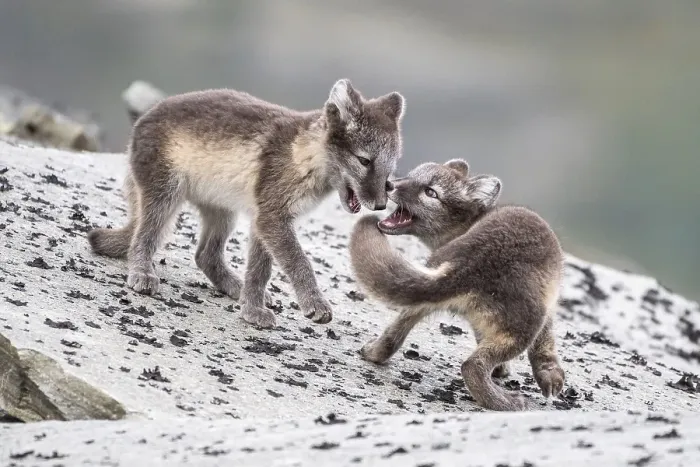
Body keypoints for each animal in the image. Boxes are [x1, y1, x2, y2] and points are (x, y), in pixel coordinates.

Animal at [88, 79, 405, 329]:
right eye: (365, 161)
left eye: (389, 171)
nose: (380, 205)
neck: (303, 156)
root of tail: (141, 121)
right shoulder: (271, 217)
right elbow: (299, 262)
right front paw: (314, 304)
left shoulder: (262, 219)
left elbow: (259, 271)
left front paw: (251, 309)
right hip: (165, 196)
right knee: (142, 238)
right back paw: (142, 274)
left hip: (223, 213)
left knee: (205, 255)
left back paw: (235, 287)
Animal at [348, 159, 565, 411]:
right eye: (411, 176)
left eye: (431, 192)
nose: (389, 184)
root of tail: (466, 263)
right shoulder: (548, 308)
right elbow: (545, 344)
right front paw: (550, 377)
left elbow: (483, 336)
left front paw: (501, 370)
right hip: (524, 326)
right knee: (471, 366)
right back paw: (507, 403)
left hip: (419, 301)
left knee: (392, 337)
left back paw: (371, 352)